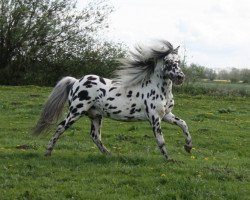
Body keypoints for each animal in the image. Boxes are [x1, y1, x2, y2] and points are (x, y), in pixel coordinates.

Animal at [33, 40, 192, 161]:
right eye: (167, 61)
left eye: (178, 61)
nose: (180, 77)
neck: (160, 90)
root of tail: (75, 81)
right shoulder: (154, 118)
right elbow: (160, 139)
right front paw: (169, 159)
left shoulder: (166, 115)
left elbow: (183, 124)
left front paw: (188, 147)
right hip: (76, 112)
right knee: (60, 128)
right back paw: (48, 152)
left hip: (95, 115)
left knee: (95, 136)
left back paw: (109, 154)